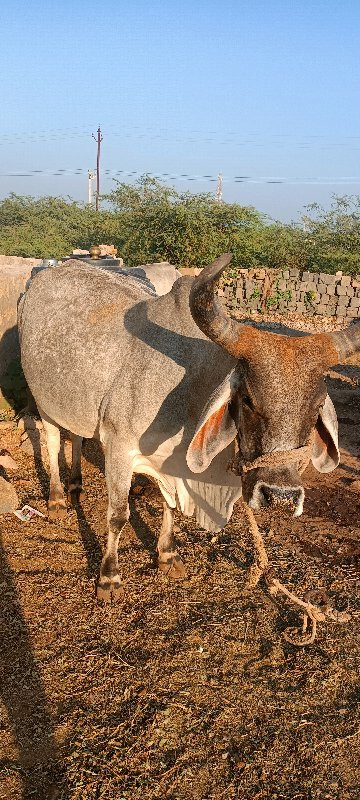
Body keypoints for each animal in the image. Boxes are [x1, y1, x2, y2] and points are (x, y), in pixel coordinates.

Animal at [17, 256, 360, 600]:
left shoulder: (171, 465)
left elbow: (169, 505)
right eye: (248, 398)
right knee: (53, 441)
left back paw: (76, 484)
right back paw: (58, 497)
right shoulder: (118, 446)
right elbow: (118, 515)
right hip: (44, 400)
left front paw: (168, 555)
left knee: (76, 436)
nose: (281, 496)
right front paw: (109, 577)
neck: (190, 393)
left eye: (317, 406)